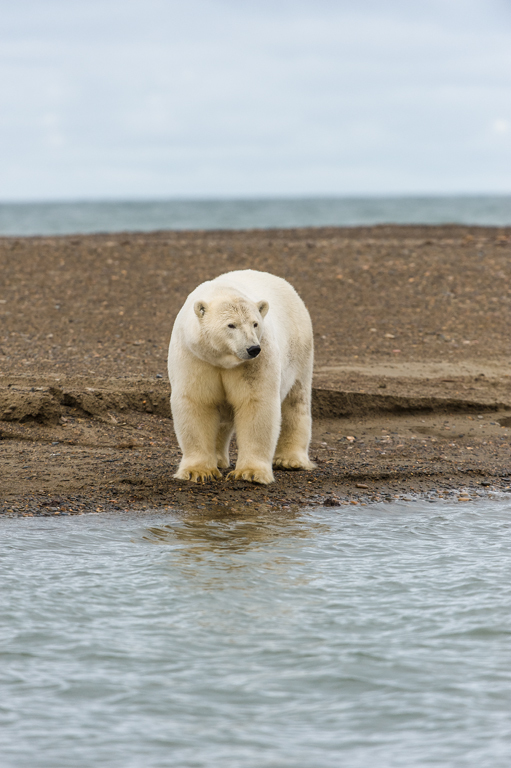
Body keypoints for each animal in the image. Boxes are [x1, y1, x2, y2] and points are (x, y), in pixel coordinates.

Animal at [167, 270, 316, 484]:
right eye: (231, 325)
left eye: (255, 324)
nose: (252, 348)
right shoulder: (195, 357)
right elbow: (197, 402)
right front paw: (199, 472)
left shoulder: (256, 360)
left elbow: (255, 403)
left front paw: (250, 473)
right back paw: (218, 459)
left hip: (299, 349)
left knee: (296, 401)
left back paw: (290, 460)